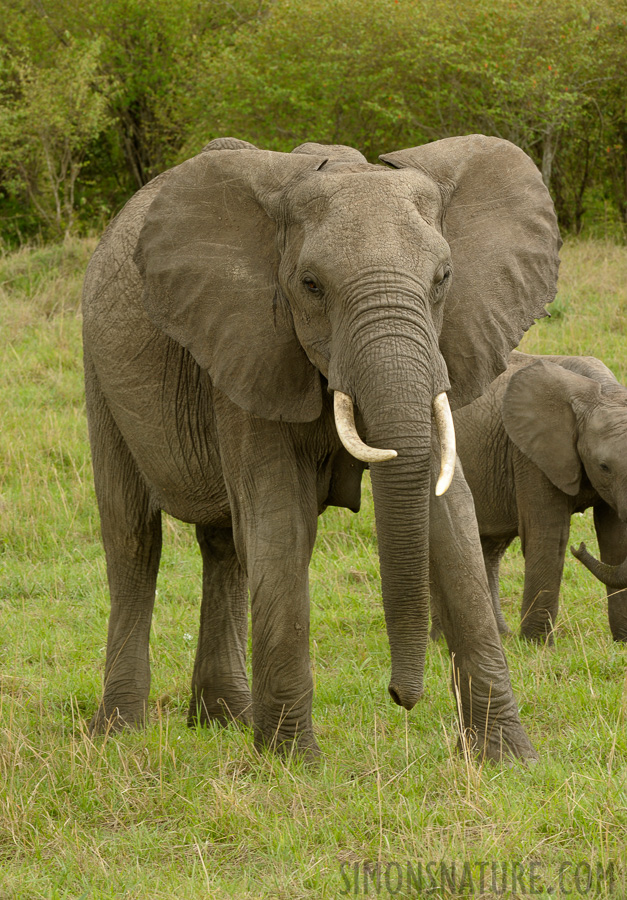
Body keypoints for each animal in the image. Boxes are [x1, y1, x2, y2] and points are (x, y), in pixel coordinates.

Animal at [83, 135, 560, 760]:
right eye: (311, 285)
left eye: (443, 278)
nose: (401, 697)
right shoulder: (251, 346)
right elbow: (282, 525)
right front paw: (291, 762)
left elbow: (451, 519)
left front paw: (507, 758)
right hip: (99, 366)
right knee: (134, 540)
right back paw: (119, 733)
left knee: (224, 546)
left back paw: (225, 720)